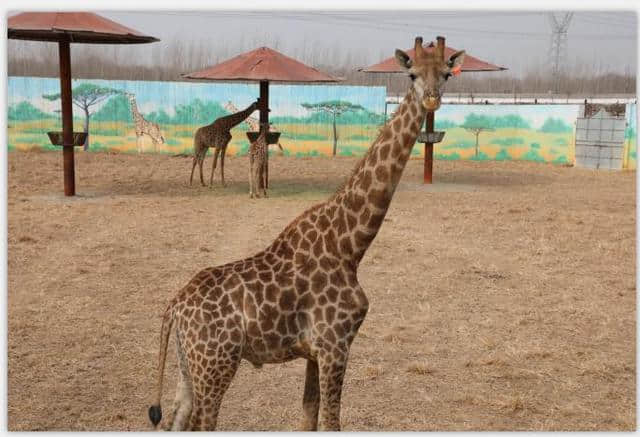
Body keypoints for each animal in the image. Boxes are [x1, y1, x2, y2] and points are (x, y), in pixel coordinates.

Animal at [149, 36, 464, 430]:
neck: (350, 244)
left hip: (187, 365)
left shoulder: (315, 352)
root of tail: (174, 308)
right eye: (411, 74)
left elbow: (308, 414)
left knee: (175, 417)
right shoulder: (335, 344)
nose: (432, 99)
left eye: (447, 74)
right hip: (215, 365)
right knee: (203, 423)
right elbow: (331, 421)